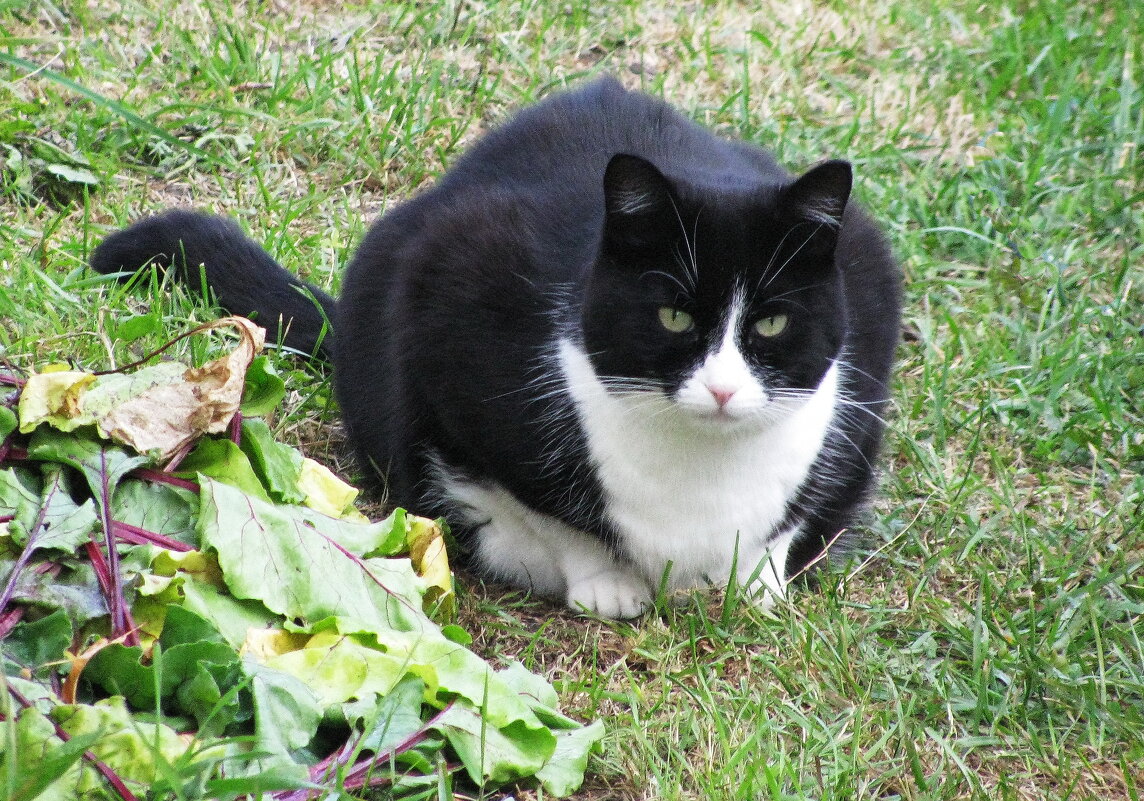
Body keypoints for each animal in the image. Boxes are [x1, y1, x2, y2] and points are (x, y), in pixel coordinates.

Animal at [93, 76, 896, 617]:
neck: (699, 473)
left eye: (771, 325)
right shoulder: (449, 309)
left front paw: (755, 582)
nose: (724, 389)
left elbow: (788, 522)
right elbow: (541, 507)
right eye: (672, 316)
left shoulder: (868, 311)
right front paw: (604, 581)